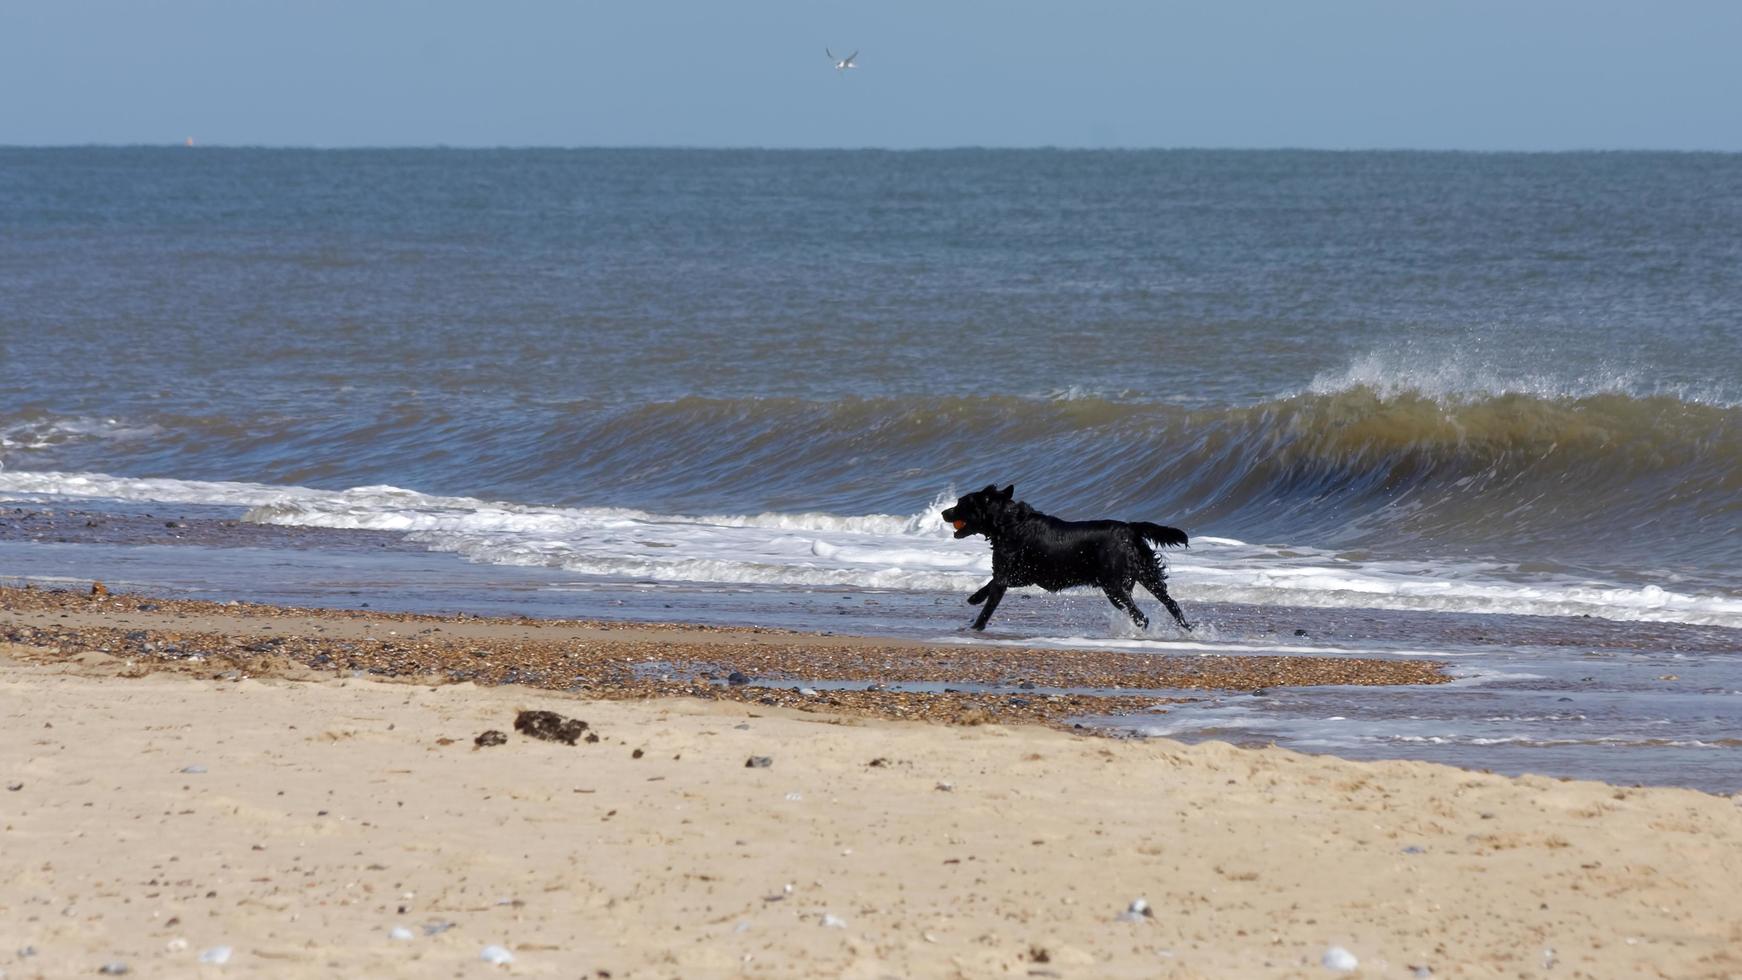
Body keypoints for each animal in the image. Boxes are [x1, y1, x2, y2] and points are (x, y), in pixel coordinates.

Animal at [940, 487, 1198, 633]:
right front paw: (974, 597)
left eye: (961, 504)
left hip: (1114, 586)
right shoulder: (1022, 575)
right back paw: (1187, 629)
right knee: (1172, 604)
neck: (1010, 522)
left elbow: (990, 601)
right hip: (1148, 575)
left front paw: (975, 626)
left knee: (1141, 616)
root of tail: (1130, 529)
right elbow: (989, 584)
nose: (943, 512)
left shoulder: (1007, 574)